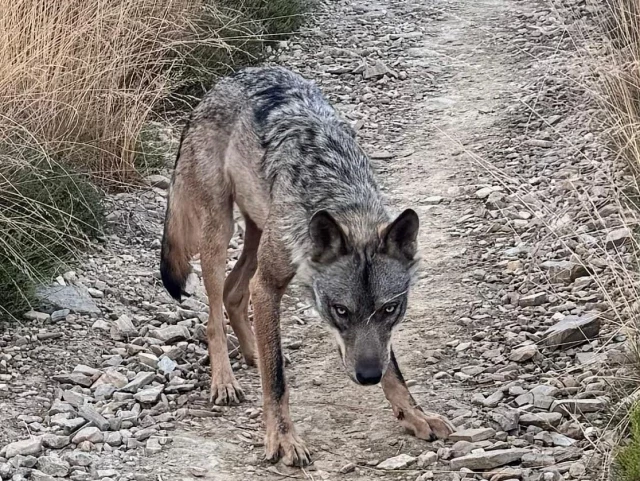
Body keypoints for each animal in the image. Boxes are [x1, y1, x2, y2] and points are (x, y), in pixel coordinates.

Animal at [159, 66, 456, 464]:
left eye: (390, 309)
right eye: (340, 311)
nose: (367, 376)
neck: (338, 191)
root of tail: (225, 80)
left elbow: (394, 369)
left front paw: (413, 414)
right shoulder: (268, 285)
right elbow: (277, 382)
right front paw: (283, 439)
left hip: (257, 234)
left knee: (234, 293)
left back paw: (253, 353)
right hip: (220, 232)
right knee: (214, 315)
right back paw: (224, 381)